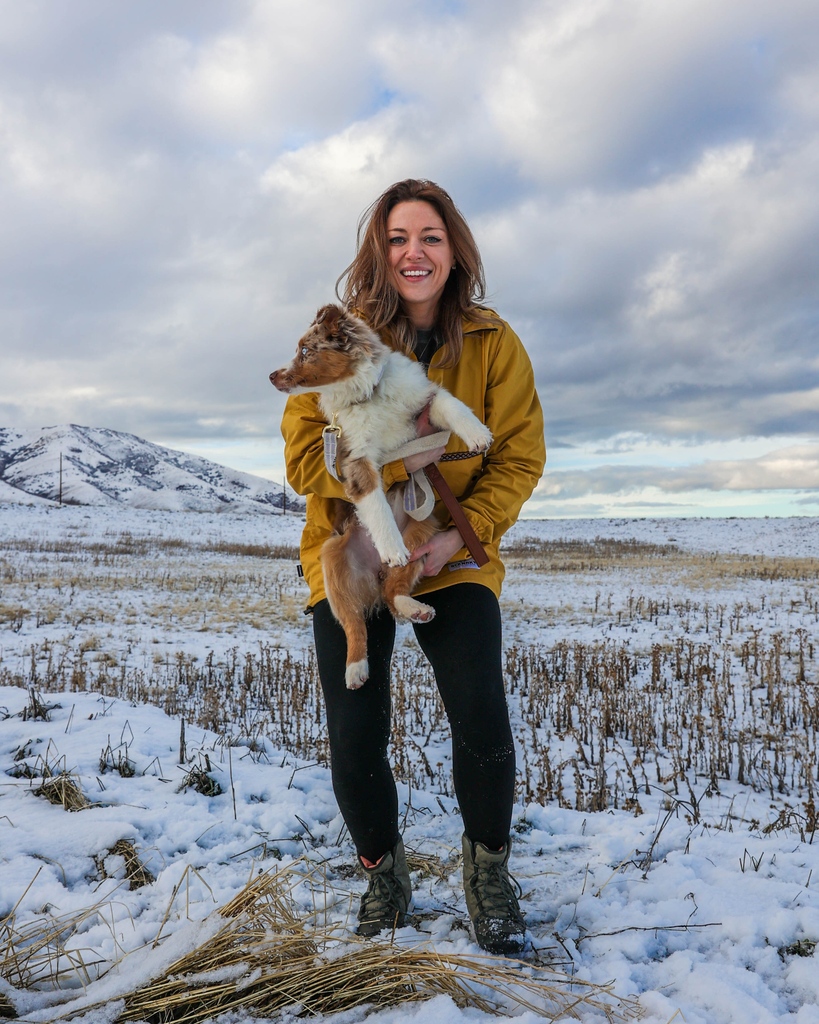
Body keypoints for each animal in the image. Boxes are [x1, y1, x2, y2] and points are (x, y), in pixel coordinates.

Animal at [270, 303, 493, 688]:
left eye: (305, 351)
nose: (272, 376)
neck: (367, 394)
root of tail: (372, 576)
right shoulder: (356, 460)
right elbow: (375, 505)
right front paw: (390, 547)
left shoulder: (424, 402)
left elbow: (452, 405)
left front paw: (478, 434)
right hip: (333, 564)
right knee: (354, 625)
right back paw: (355, 668)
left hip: (424, 534)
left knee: (393, 593)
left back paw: (415, 608)